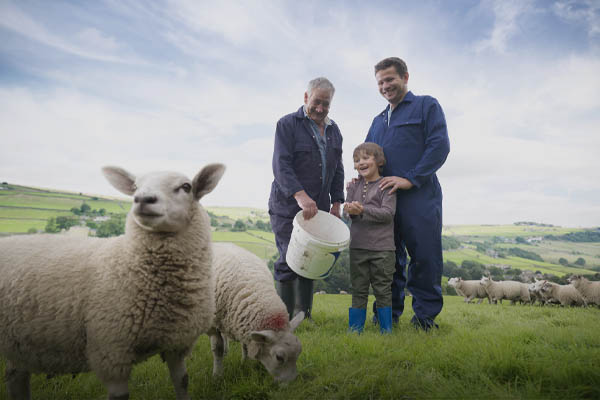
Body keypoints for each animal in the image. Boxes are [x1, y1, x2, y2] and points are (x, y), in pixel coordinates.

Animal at [0, 163, 225, 400]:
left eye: (186, 186)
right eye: (135, 187)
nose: (142, 199)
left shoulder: (176, 344)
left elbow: (182, 382)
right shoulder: (111, 350)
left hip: (19, 344)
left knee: (15, 375)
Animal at [211, 242, 304, 382]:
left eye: (299, 353)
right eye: (279, 357)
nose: (292, 382)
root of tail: (222, 243)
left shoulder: (240, 319)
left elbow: (244, 344)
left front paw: (244, 362)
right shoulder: (212, 323)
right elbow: (217, 348)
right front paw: (217, 375)